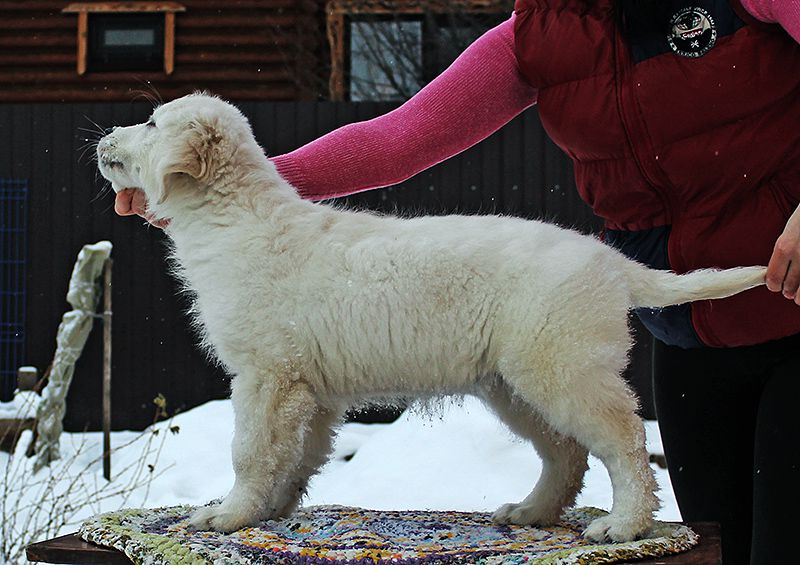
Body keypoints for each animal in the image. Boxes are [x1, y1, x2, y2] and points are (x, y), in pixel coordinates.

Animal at [98, 93, 764, 540]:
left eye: (151, 124)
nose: (103, 137)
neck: (234, 218)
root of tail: (612, 261)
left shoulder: (267, 375)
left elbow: (251, 452)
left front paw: (227, 514)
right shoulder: (308, 386)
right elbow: (298, 455)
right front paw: (271, 509)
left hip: (561, 368)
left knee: (625, 442)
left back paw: (624, 524)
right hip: (514, 384)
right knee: (566, 454)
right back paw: (532, 512)